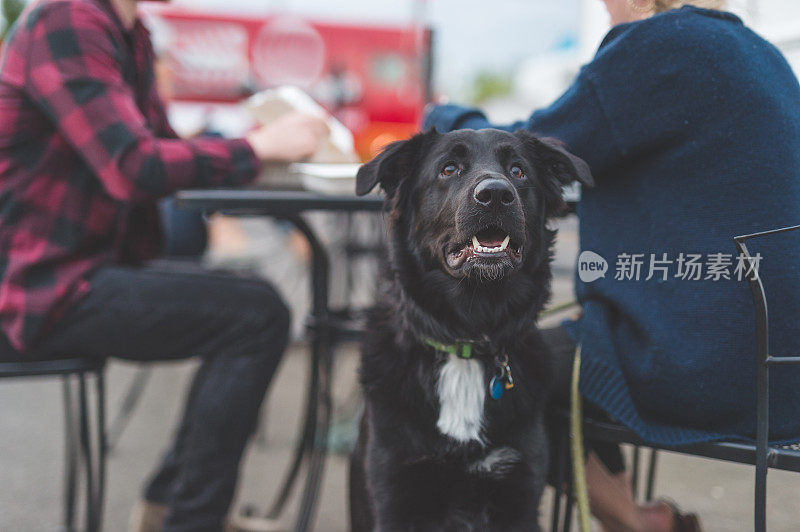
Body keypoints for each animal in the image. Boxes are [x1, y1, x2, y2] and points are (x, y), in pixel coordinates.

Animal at [350, 130, 592, 532]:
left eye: (518, 171)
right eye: (448, 169)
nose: (495, 194)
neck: (466, 341)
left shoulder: (520, 496)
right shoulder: (394, 494)